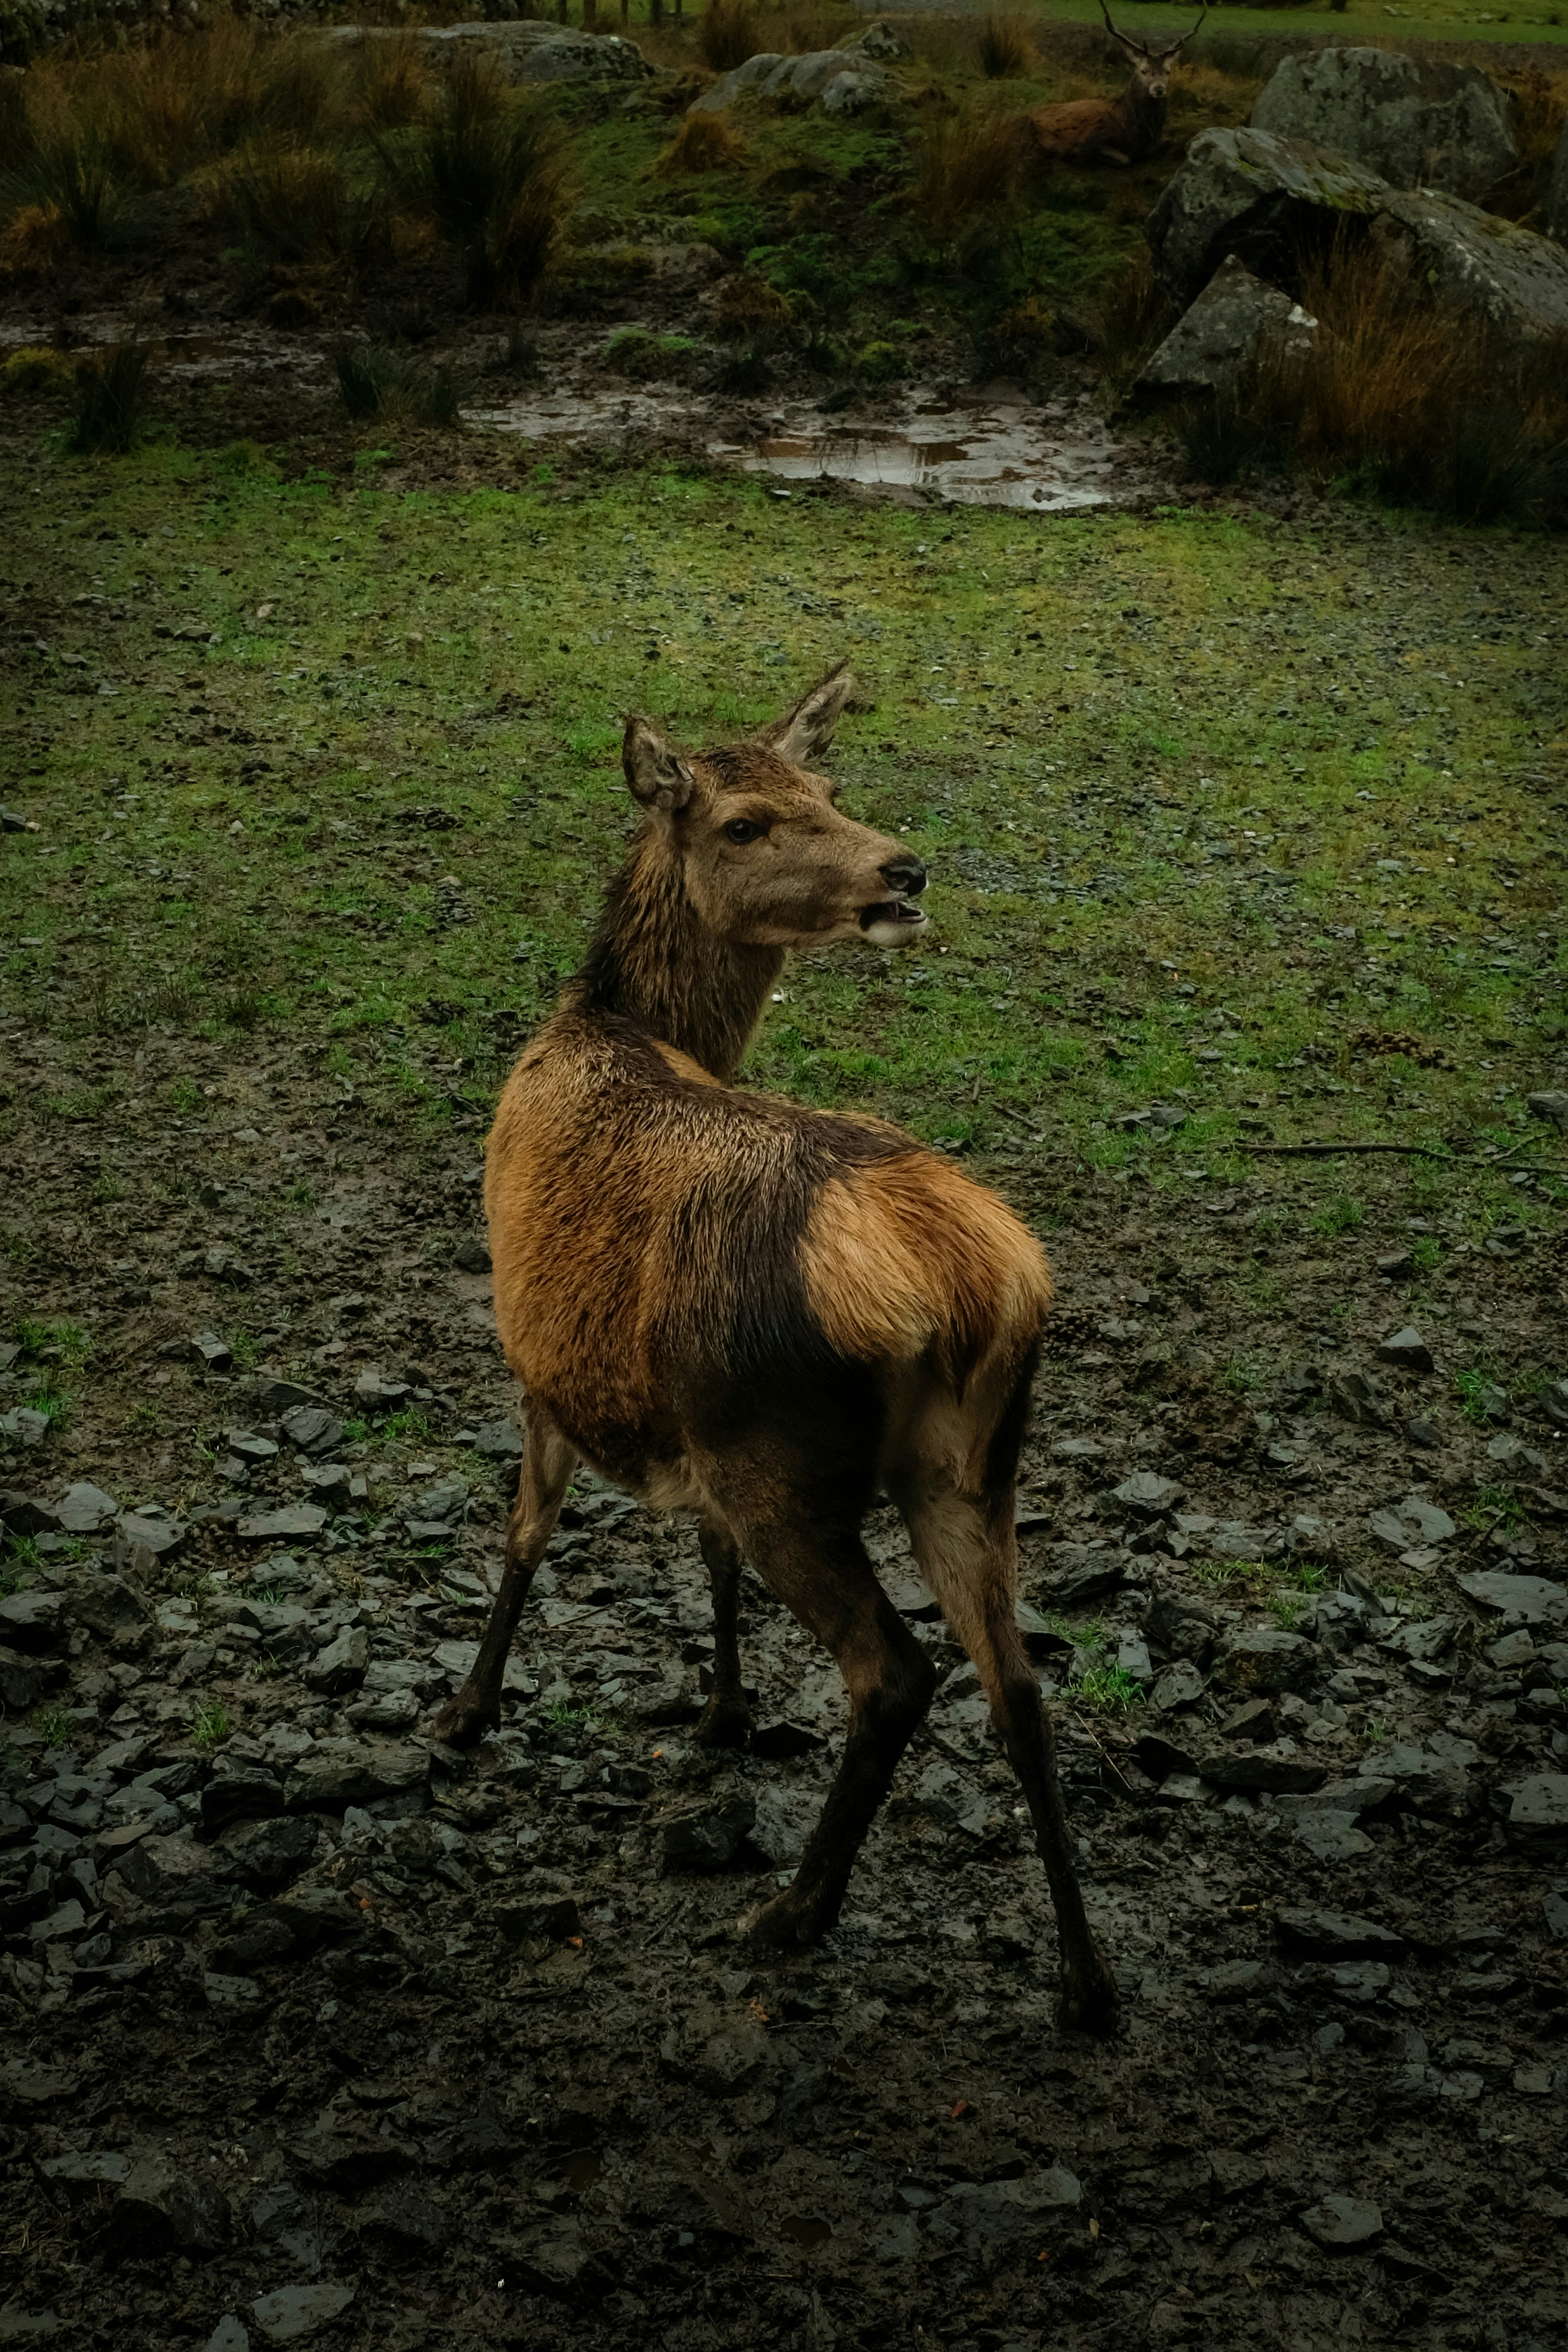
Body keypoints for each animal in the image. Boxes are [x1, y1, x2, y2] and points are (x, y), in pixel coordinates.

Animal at [430, 665, 1118, 2038]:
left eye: (831, 788)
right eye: (747, 819)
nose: (902, 869)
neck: (598, 1023)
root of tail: (975, 1295)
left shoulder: (540, 1358)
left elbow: (526, 1528)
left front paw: (470, 1709)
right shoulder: (678, 1424)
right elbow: (701, 1553)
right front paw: (725, 1708)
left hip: (787, 1457)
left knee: (897, 1671)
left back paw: (795, 1911)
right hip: (974, 1465)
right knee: (1017, 1683)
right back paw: (1084, 1978)